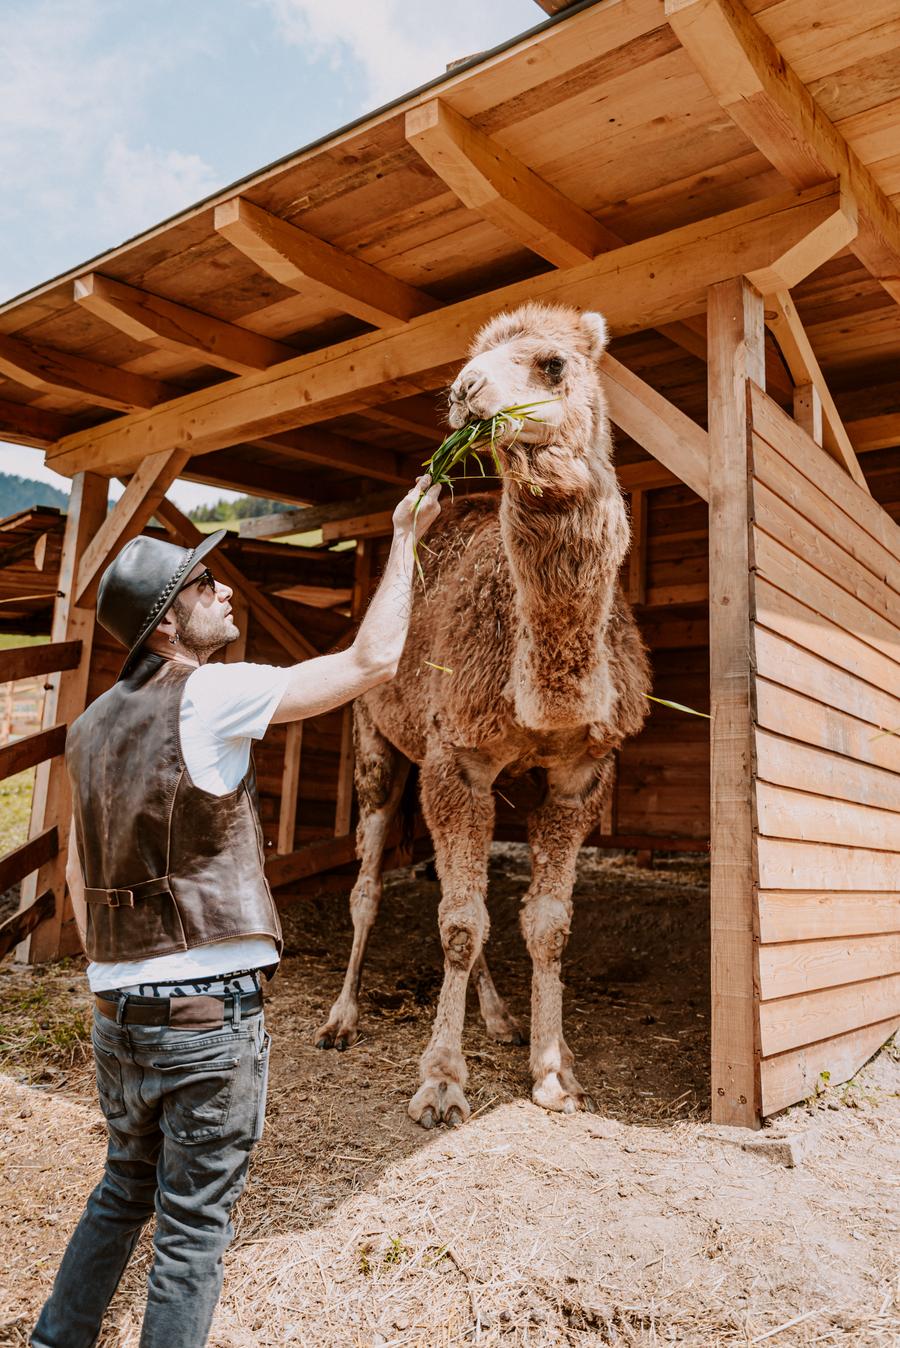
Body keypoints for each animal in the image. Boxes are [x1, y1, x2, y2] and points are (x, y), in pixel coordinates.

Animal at [315, 303, 646, 1126]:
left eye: (553, 363)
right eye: (474, 360)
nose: (465, 391)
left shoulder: (580, 771)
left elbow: (545, 924)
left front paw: (554, 1071)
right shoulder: (454, 758)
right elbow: (460, 922)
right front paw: (439, 1081)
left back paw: (498, 1018)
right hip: (375, 742)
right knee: (368, 884)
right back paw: (341, 1019)